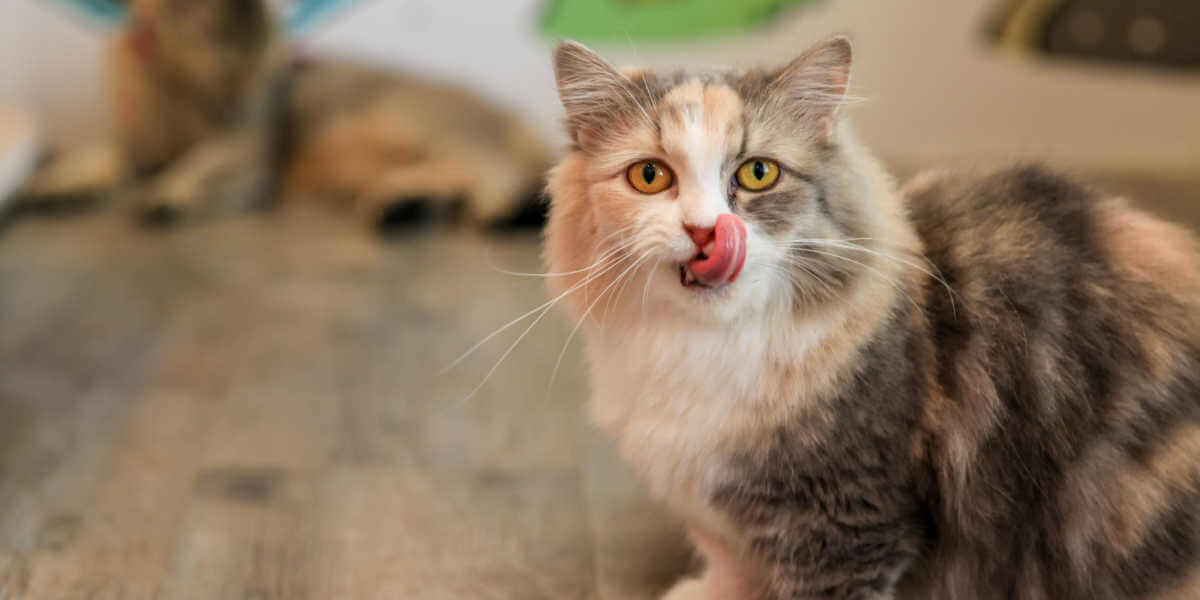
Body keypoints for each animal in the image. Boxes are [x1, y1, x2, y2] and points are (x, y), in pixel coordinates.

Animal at [22, 0, 549, 230]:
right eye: (220, 55)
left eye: (262, 57)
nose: (241, 98)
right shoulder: (133, 147)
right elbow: (96, 157)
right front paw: (51, 184)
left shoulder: (248, 160)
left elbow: (203, 163)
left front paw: (172, 191)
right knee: (451, 176)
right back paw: (404, 204)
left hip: (410, 117)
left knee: (498, 170)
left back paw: (498, 210)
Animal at [547, 37, 1200, 600]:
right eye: (650, 176)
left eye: (758, 173)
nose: (707, 231)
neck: (706, 348)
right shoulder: (718, 513)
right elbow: (728, 563)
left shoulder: (846, 522)